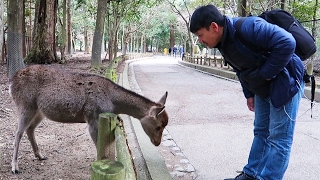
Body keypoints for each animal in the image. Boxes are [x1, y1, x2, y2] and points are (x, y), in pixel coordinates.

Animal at [8, 64, 169, 174]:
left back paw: (40, 156)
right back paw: (15, 167)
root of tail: (11, 81)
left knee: (30, 129)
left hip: (39, 111)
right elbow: (98, 144)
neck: (112, 103)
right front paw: (101, 164)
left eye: (165, 125)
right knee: (17, 132)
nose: (157, 142)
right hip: (25, 104)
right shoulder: (92, 117)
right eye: (159, 126)